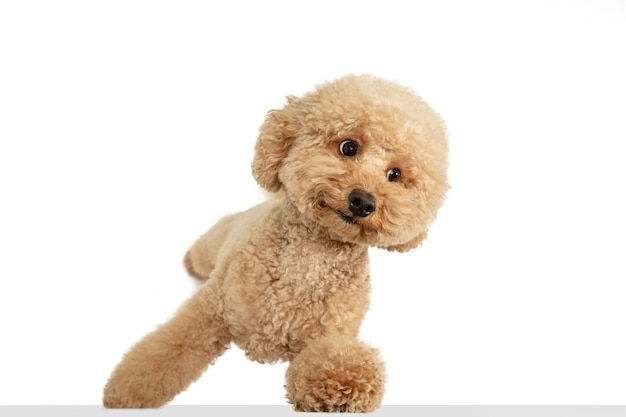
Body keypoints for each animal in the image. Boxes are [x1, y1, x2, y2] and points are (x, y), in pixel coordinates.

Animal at [102, 73, 446, 412]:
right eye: (349, 147)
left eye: (395, 174)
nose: (362, 201)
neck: (311, 256)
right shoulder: (210, 312)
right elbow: (169, 348)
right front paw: (124, 391)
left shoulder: (328, 333)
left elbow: (329, 359)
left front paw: (345, 387)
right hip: (215, 242)